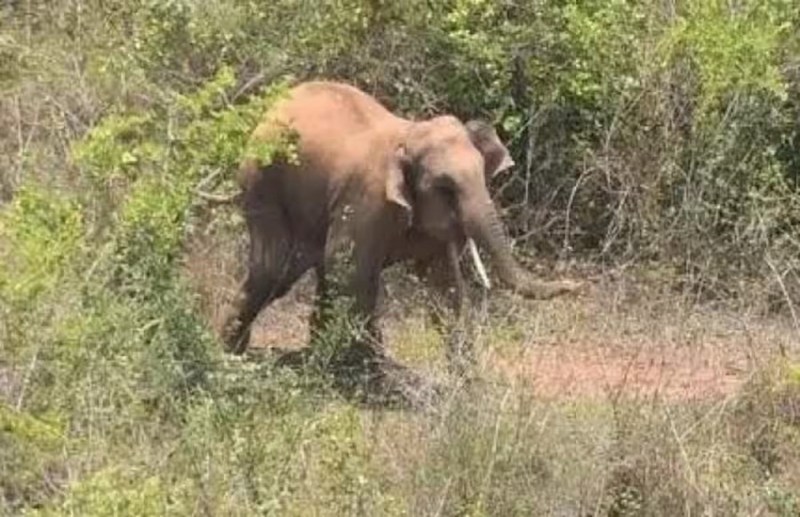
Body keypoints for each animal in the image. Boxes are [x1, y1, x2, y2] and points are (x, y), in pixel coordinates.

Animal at [219, 80, 581, 369]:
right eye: (445, 187)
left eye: (483, 174)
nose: (576, 286)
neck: (409, 134)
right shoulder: (366, 202)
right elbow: (352, 273)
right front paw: (374, 370)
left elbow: (445, 287)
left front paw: (470, 387)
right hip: (261, 182)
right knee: (276, 270)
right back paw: (231, 351)